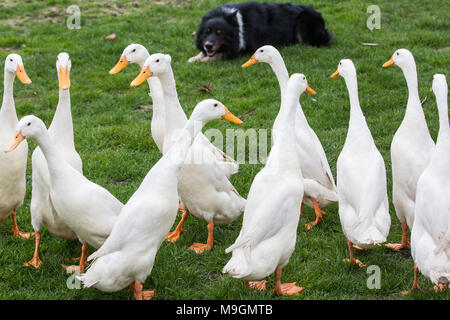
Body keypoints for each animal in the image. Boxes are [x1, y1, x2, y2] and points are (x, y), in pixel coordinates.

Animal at [187, 1, 330, 62]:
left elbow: (221, 55)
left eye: (220, 33)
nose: (208, 46)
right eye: (206, 32)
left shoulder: (246, 48)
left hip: (303, 21)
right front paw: (194, 57)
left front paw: (202, 60)